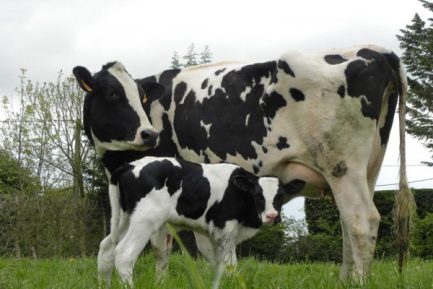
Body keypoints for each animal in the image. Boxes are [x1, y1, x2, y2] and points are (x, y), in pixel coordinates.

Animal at [109, 156, 300, 286]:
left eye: (281, 196)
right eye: (258, 195)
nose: (272, 216)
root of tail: (131, 164)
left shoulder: (211, 234)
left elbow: (217, 263)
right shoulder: (224, 230)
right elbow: (230, 264)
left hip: (123, 219)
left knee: (106, 249)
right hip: (145, 220)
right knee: (124, 254)